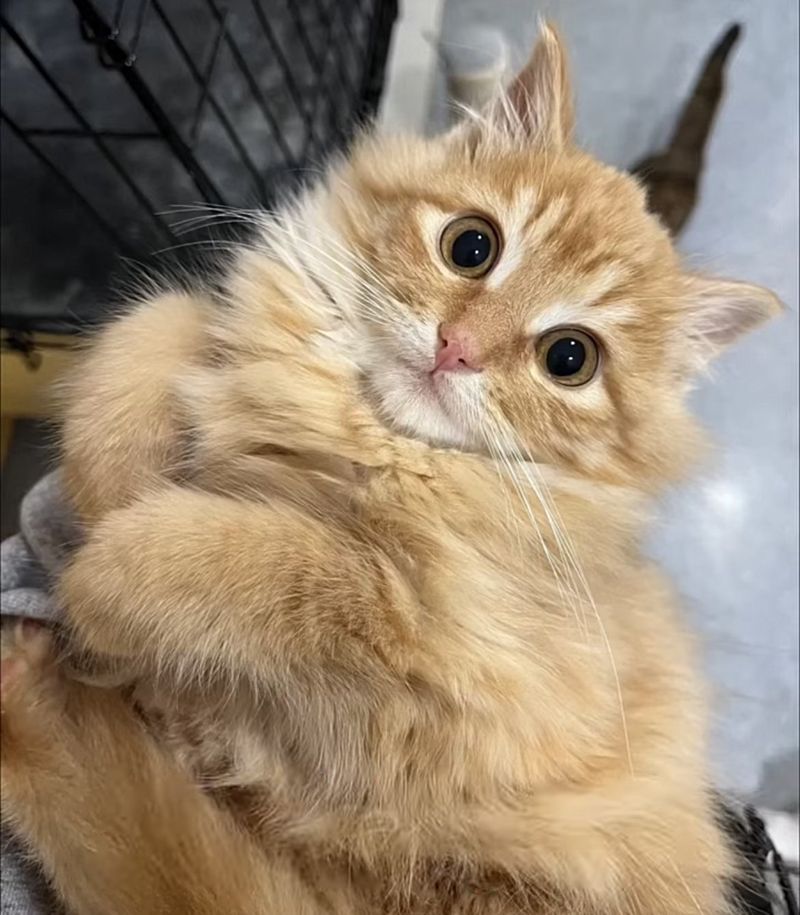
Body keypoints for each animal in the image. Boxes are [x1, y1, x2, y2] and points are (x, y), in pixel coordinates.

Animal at [0, 21, 784, 915]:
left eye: (569, 358)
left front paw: (110, 565)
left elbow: (277, 563)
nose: (457, 347)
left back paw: (35, 669)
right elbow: (159, 320)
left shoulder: (437, 635)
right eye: (471, 245)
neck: (362, 427)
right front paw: (112, 469)